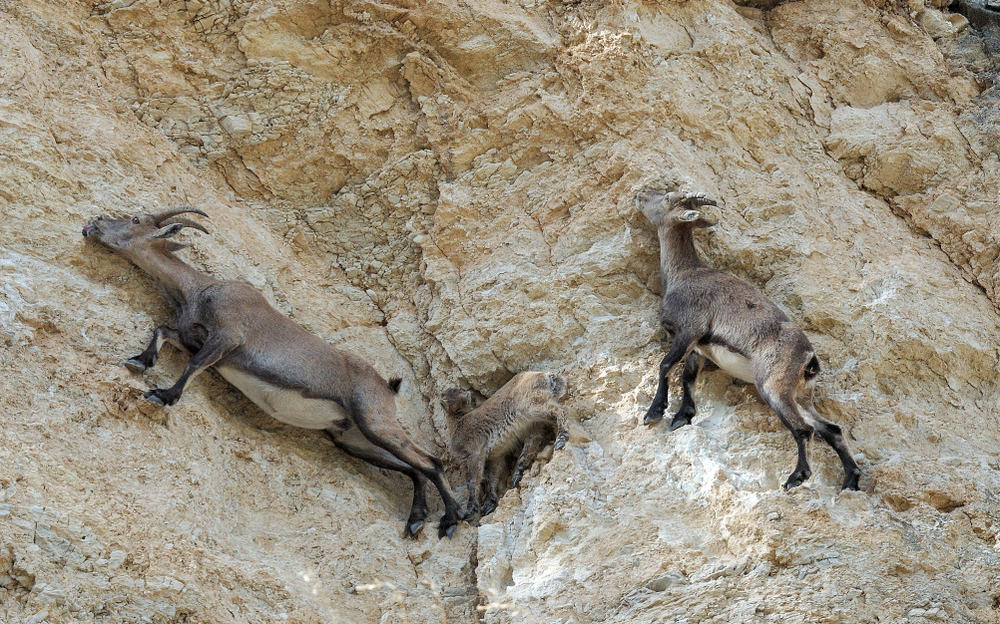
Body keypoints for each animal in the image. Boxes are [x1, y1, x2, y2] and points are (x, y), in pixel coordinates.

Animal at [82, 208, 464, 536]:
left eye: (136, 219)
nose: (94, 223)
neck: (199, 290)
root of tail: (388, 387)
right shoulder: (193, 338)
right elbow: (162, 330)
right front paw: (140, 361)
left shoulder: (228, 336)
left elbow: (192, 365)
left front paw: (163, 395)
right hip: (353, 439)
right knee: (414, 468)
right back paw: (416, 520)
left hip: (375, 420)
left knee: (431, 463)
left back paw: (452, 518)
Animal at [640, 188, 860, 490]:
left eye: (667, 198)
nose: (640, 196)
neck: (683, 273)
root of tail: (809, 360)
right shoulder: (698, 347)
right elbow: (688, 377)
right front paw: (683, 416)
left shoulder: (689, 329)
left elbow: (665, 365)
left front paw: (654, 412)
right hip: (801, 395)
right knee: (831, 429)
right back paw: (850, 479)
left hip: (773, 387)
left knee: (804, 430)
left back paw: (796, 478)